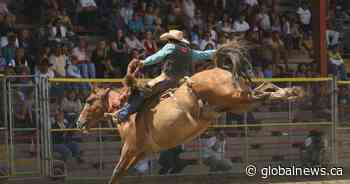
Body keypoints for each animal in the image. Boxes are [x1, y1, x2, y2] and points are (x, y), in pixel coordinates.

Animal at [76, 41, 304, 184]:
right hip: (238, 102)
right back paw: (291, 92)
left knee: (262, 94)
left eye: (88, 101)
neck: (127, 108)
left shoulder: (131, 147)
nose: (79, 123)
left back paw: (291, 92)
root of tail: (221, 71)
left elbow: (117, 173)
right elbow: (122, 173)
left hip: (238, 98)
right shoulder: (142, 151)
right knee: (264, 90)